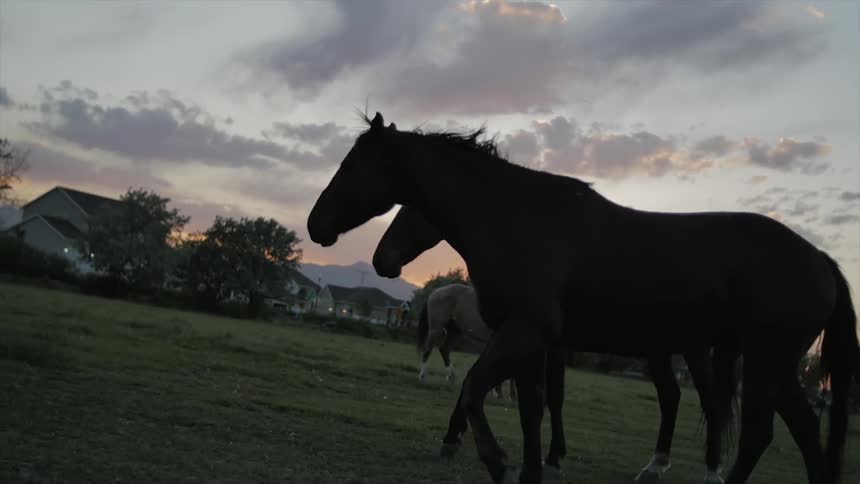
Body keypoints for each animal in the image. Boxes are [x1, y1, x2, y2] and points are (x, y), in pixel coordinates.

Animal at [375, 204, 734, 483]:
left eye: (414, 210)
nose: (383, 258)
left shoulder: (543, 346)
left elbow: (551, 396)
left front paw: (550, 457)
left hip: (690, 351)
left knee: (709, 400)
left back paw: (711, 470)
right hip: (657, 351)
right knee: (672, 397)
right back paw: (656, 466)